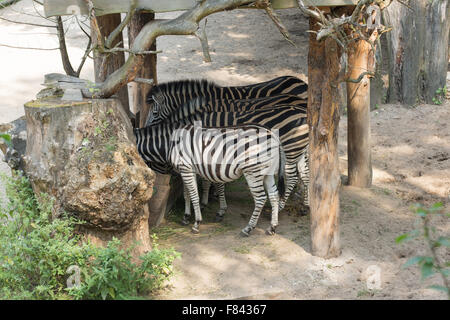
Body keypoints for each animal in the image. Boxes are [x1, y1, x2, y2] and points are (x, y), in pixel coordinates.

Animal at [135, 121, 286, 236]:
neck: (170, 143)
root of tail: (272, 134)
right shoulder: (187, 170)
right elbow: (187, 194)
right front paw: (186, 217)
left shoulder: (186, 169)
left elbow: (194, 195)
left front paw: (196, 223)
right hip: (267, 172)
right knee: (274, 196)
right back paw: (272, 227)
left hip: (253, 171)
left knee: (261, 198)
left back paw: (248, 228)